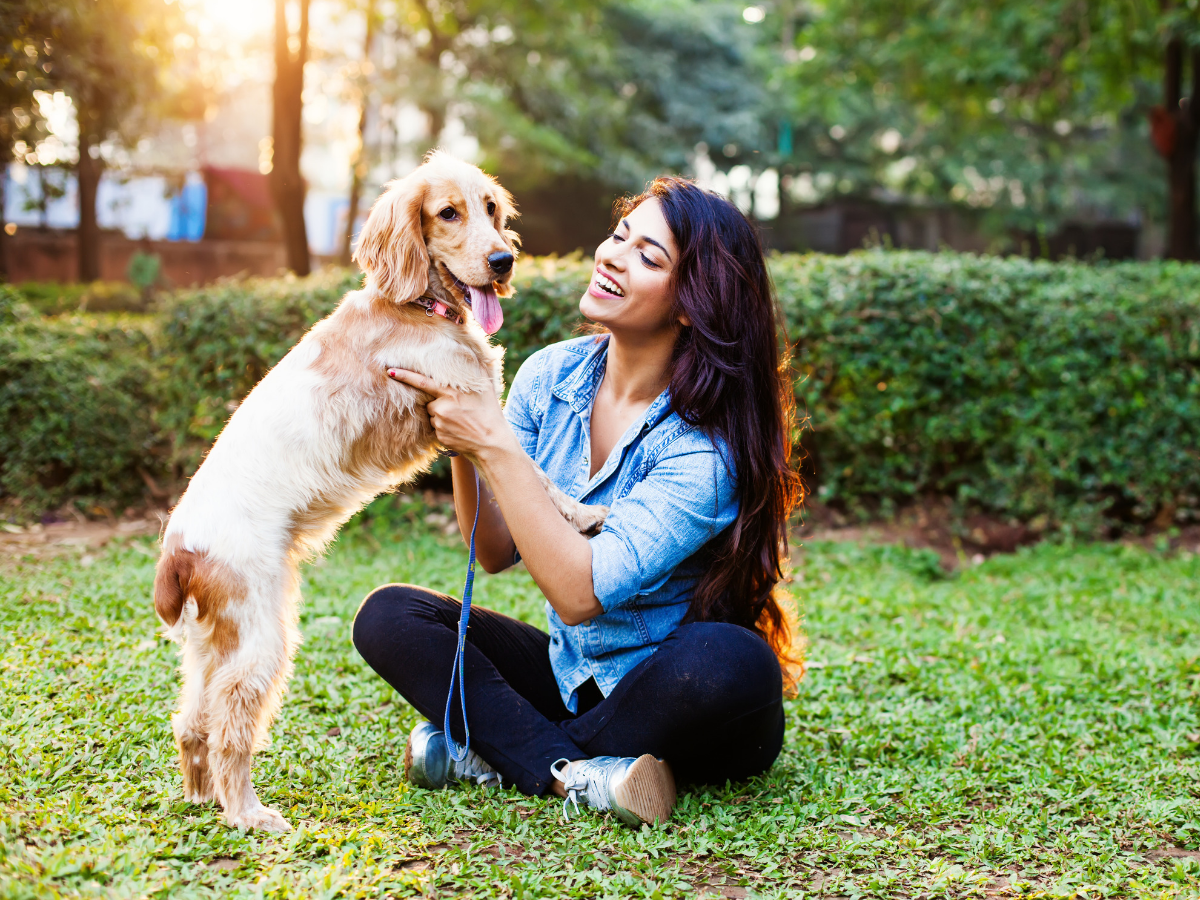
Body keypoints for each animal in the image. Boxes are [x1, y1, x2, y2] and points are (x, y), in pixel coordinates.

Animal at [153, 153, 609, 830]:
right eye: (448, 213)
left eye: (491, 209)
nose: (503, 261)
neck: (417, 306)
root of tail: (178, 547)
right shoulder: (469, 407)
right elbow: (540, 477)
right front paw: (581, 513)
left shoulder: (468, 423)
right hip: (261, 638)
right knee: (230, 725)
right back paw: (248, 814)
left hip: (215, 642)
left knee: (192, 720)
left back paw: (202, 798)